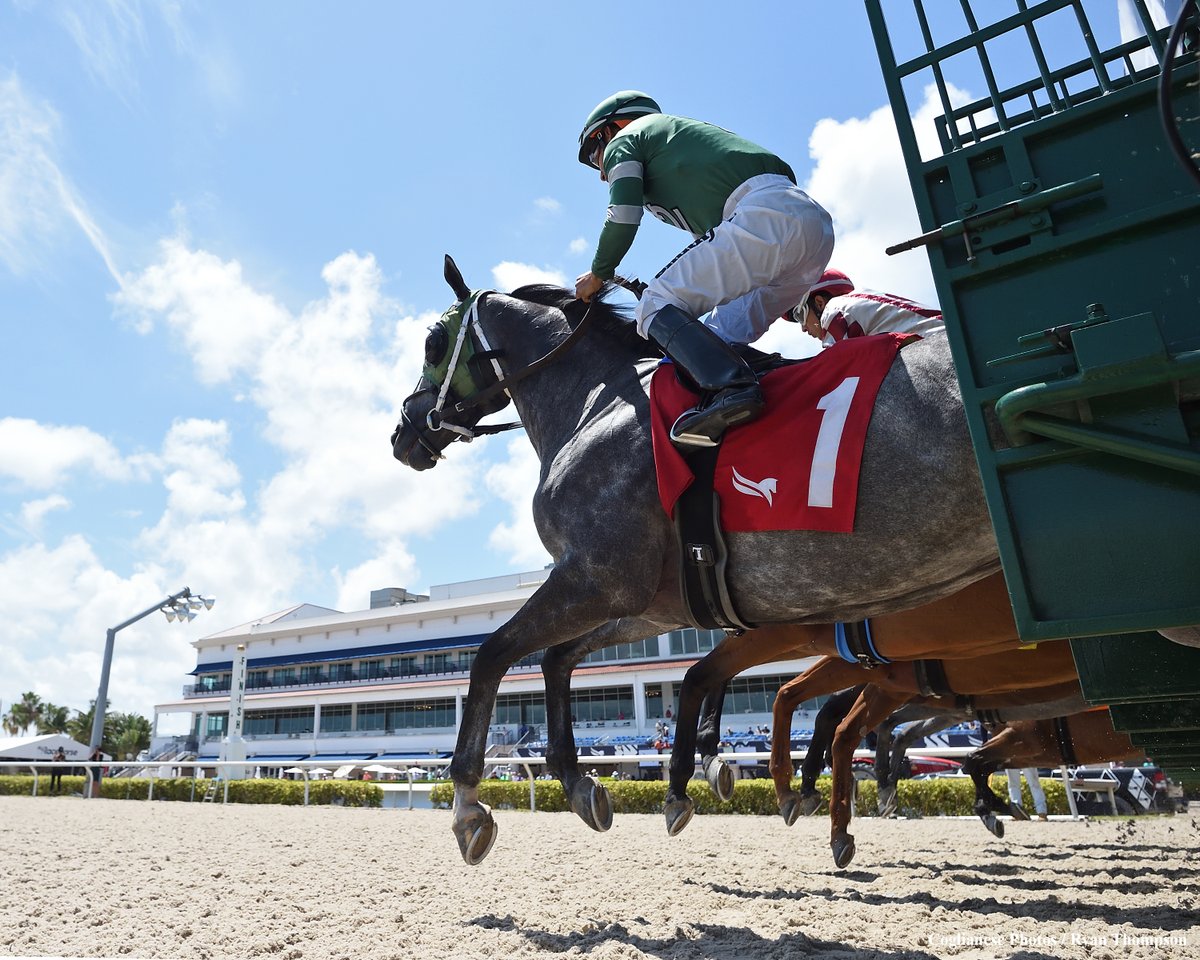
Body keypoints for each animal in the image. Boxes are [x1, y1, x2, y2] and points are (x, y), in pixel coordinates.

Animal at [388, 259, 998, 864]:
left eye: (432, 342)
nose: (402, 434)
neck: (598, 402)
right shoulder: (655, 603)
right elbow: (562, 658)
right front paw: (580, 781)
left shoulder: (599, 577)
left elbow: (492, 654)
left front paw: (468, 803)